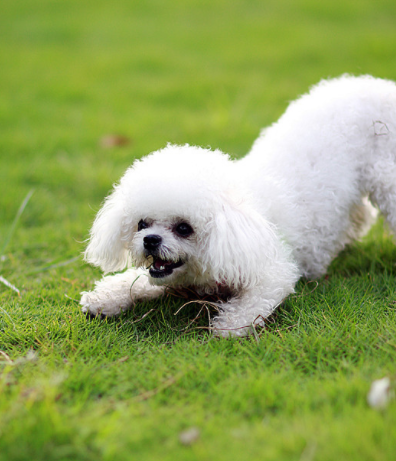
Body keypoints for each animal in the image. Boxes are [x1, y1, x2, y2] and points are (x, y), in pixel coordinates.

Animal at [80, 74, 396, 334]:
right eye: (142, 224)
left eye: (184, 228)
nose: (151, 240)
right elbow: (134, 281)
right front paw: (103, 298)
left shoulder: (272, 271)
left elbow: (254, 301)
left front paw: (229, 324)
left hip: (386, 180)